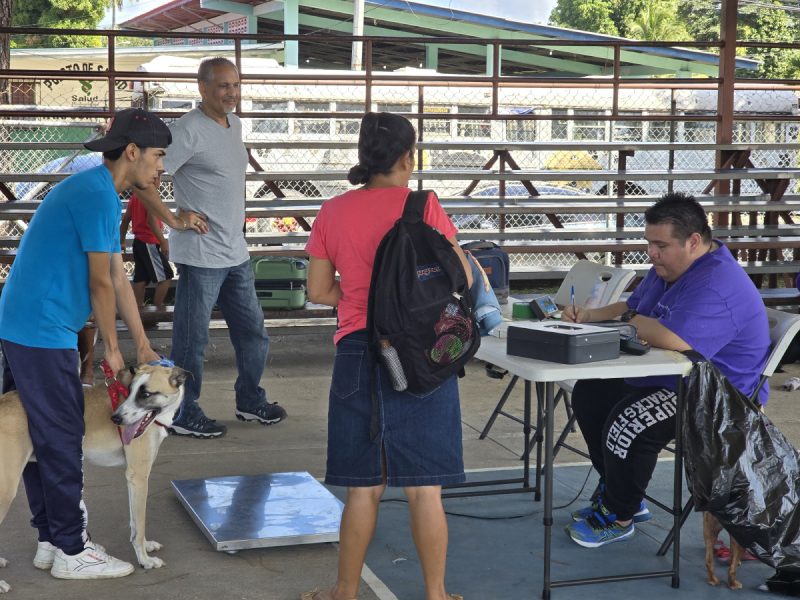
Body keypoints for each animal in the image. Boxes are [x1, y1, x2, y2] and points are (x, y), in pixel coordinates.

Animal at [0, 364, 187, 592]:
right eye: (131, 391)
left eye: (145, 394)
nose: (116, 419)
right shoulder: (139, 475)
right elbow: (140, 523)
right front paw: (145, 560)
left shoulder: (132, 479)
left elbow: (134, 522)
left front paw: (145, 545)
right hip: (5, 488)